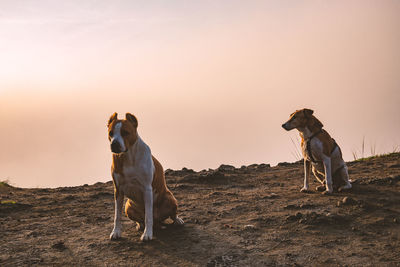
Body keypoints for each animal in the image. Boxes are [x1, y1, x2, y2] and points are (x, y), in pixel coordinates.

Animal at [107, 112, 184, 242]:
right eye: (111, 133)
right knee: (141, 219)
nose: (114, 144)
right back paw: (140, 225)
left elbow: (148, 215)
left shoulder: (147, 189)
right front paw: (116, 232)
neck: (128, 157)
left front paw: (147, 234)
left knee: (170, 214)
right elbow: (117, 215)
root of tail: (158, 221)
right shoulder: (118, 190)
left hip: (170, 198)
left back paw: (177, 220)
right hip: (128, 206)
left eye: (125, 132)